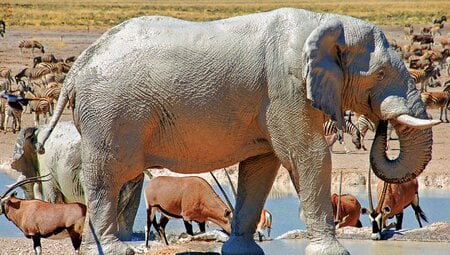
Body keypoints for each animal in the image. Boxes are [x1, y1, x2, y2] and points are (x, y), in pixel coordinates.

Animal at [37, 7, 440, 255]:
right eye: (381, 74)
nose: (382, 123)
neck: (324, 19)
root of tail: (80, 63)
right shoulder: (285, 88)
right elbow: (307, 155)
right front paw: (333, 251)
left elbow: (261, 167)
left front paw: (242, 250)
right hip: (110, 114)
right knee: (107, 178)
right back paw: (115, 249)